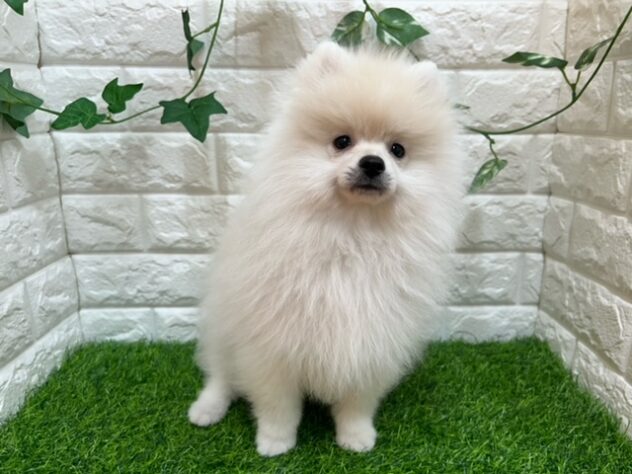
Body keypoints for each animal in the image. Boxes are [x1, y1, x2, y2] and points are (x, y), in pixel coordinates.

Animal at [188, 42, 463, 456]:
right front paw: (274, 441)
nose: (373, 162)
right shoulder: (272, 345)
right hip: (224, 328)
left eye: (397, 150)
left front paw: (356, 437)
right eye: (342, 141)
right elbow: (278, 404)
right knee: (221, 375)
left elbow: (357, 403)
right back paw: (207, 409)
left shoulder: (372, 341)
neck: (351, 234)